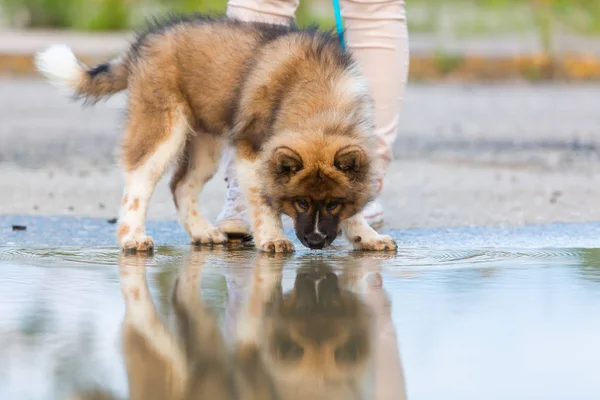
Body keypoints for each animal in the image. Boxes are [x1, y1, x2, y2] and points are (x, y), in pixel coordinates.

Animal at [35, 15, 396, 255]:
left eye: (334, 203)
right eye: (301, 202)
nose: (317, 242)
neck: (321, 103)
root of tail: (144, 44)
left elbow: (354, 206)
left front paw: (366, 235)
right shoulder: (251, 149)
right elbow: (262, 199)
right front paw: (273, 238)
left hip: (205, 141)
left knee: (181, 185)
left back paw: (203, 232)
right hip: (163, 127)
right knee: (138, 181)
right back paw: (133, 237)